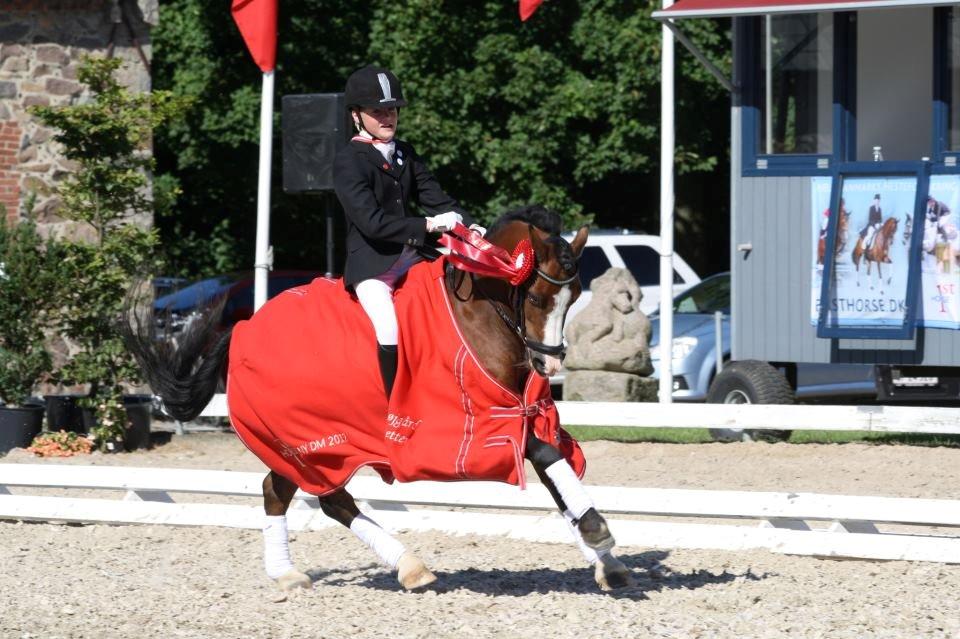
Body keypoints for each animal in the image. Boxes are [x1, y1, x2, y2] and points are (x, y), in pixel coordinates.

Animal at [124, 206, 635, 593]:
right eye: (534, 297)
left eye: (574, 297)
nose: (548, 364)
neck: (478, 314)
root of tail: (245, 326)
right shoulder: (482, 422)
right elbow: (547, 457)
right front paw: (597, 532)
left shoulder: (523, 415)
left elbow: (556, 476)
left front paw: (606, 561)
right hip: (306, 441)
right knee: (317, 497)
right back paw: (392, 566)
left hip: (308, 444)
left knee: (294, 494)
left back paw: (307, 571)